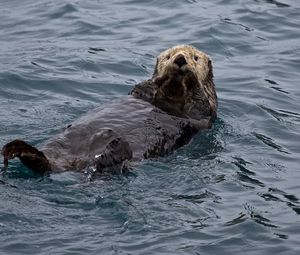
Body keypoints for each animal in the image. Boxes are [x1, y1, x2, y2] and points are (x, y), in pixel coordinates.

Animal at [0, 44, 217, 174]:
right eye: (168, 56)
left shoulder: (204, 113)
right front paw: (160, 78)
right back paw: (21, 150)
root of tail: (77, 164)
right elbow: (143, 88)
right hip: (58, 146)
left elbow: (199, 104)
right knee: (45, 164)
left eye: (195, 57)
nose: (180, 59)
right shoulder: (140, 93)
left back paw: (112, 148)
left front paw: (190, 77)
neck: (171, 95)